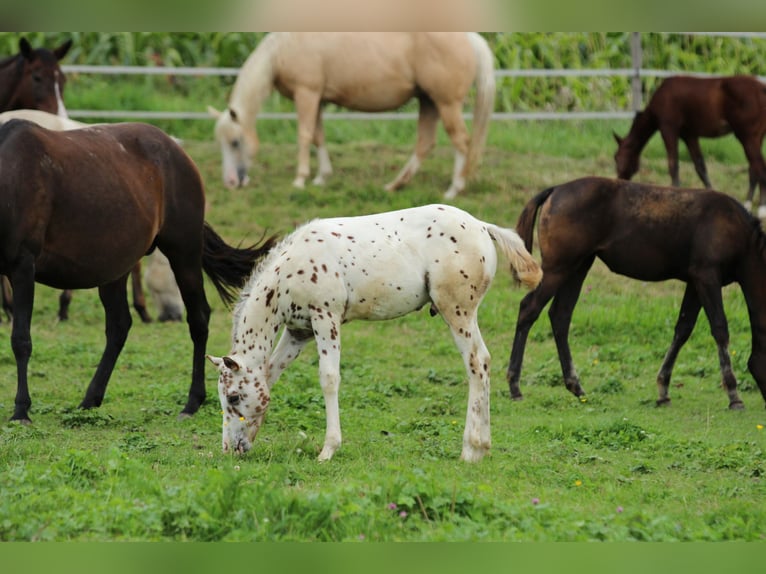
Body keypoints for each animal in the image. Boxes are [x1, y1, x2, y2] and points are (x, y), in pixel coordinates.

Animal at [0, 119, 277, 423]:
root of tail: (178, 153)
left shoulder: (23, 267)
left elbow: (21, 339)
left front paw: (21, 409)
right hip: (115, 268)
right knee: (119, 326)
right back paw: (91, 398)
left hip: (184, 253)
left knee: (198, 318)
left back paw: (192, 402)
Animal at [207, 32, 495, 199]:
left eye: (235, 142)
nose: (231, 182)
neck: (283, 48)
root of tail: (471, 38)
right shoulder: (318, 99)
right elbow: (319, 137)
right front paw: (321, 177)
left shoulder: (307, 94)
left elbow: (304, 135)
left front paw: (300, 179)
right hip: (429, 102)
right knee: (425, 144)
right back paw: (395, 185)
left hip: (446, 103)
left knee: (461, 142)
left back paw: (453, 190)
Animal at [207, 204, 542, 462]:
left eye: (234, 396)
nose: (230, 448)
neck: (289, 271)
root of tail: (483, 227)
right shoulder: (298, 331)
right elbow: (270, 375)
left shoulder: (325, 317)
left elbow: (329, 378)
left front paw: (328, 450)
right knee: (482, 363)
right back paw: (483, 447)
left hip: (457, 310)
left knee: (478, 362)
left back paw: (471, 449)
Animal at [506, 176, 766, 411]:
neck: (740, 234)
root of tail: (556, 189)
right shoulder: (707, 277)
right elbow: (720, 329)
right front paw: (734, 395)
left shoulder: (695, 282)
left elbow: (683, 329)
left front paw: (663, 390)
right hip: (558, 268)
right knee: (529, 309)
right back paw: (515, 386)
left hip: (579, 266)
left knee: (560, 315)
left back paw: (575, 385)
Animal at [613, 75, 766, 216]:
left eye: (617, 157)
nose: (620, 179)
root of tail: (761, 88)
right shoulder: (689, 135)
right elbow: (700, 166)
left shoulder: (669, 129)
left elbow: (673, 165)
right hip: (756, 138)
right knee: (753, 169)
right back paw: (747, 204)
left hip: (748, 138)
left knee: (760, 168)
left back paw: (761, 208)